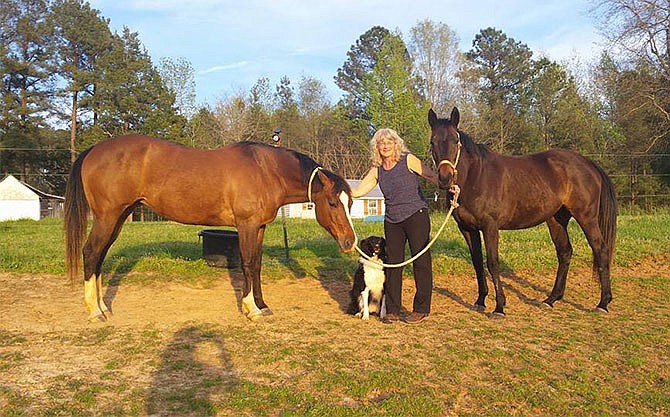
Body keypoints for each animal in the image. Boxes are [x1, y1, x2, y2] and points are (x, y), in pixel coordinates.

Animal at [64, 135, 356, 320]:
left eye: (350, 202)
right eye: (332, 203)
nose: (350, 242)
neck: (266, 170)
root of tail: (93, 150)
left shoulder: (260, 227)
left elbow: (257, 265)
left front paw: (262, 305)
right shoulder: (247, 225)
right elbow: (247, 263)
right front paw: (251, 309)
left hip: (119, 217)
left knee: (99, 257)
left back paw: (103, 307)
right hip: (107, 217)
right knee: (91, 253)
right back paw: (95, 312)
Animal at [430, 107, 620, 316]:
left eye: (456, 141)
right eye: (433, 142)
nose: (445, 178)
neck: (476, 176)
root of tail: (589, 163)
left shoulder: (490, 227)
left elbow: (493, 263)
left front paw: (499, 307)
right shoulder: (467, 228)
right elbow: (477, 262)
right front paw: (480, 300)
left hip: (586, 218)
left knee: (601, 250)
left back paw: (603, 303)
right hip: (556, 219)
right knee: (565, 252)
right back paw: (551, 299)